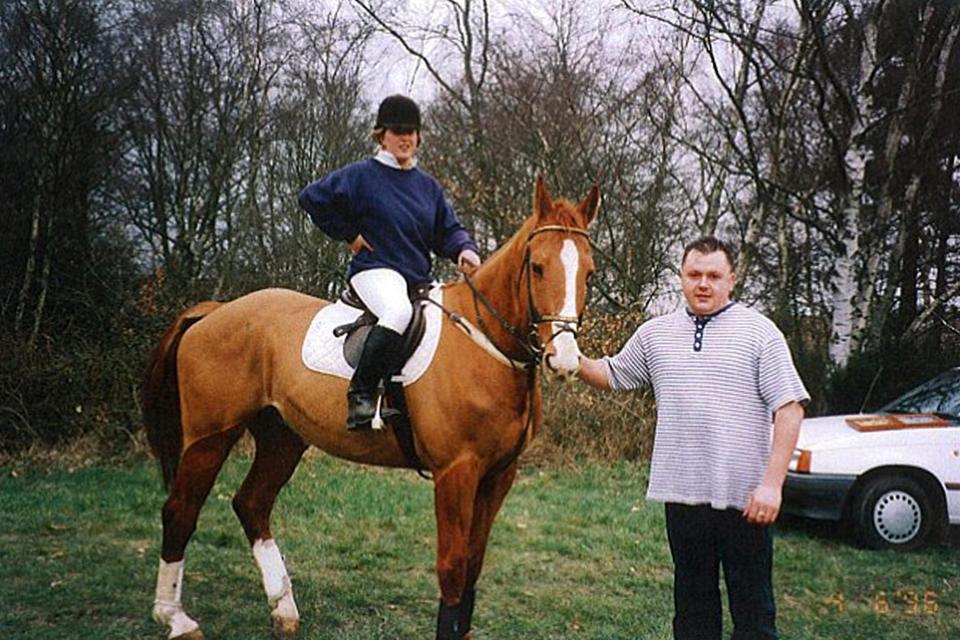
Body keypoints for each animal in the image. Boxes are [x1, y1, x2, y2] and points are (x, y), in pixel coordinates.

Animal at [142, 176, 596, 640]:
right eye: (537, 267)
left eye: (590, 274)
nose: (564, 359)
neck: (483, 341)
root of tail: (215, 311)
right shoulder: (456, 473)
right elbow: (453, 568)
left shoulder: (498, 475)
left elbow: (473, 566)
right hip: (209, 439)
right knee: (180, 512)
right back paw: (175, 618)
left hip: (282, 438)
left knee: (251, 503)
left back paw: (283, 609)